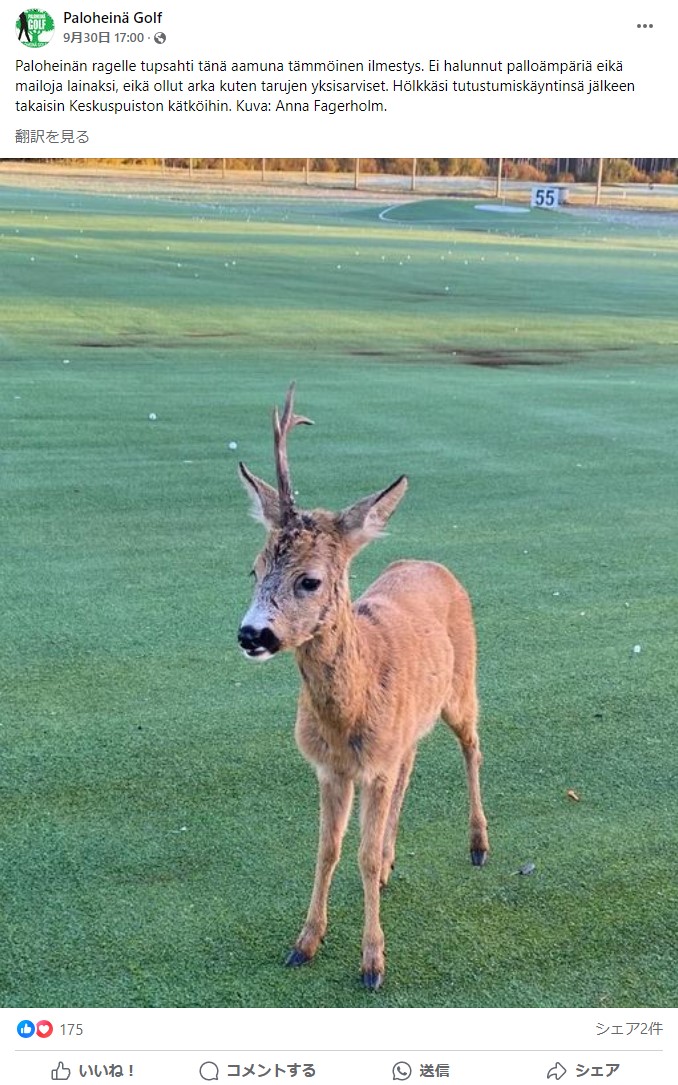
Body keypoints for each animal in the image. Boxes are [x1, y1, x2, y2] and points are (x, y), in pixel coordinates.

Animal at [236, 386, 485, 989]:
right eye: (254, 570)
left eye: (310, 580)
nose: (251, 634)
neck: (346, 715)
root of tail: (432, 564)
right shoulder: (332, 768)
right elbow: (327, 850)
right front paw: (305, 942)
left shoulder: (371, 765)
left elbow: (362, 857)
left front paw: (372, 962)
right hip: (411, 726)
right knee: (411, 767)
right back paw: (398, 858)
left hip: (462, 685)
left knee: (473, 744)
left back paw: (478, 846)